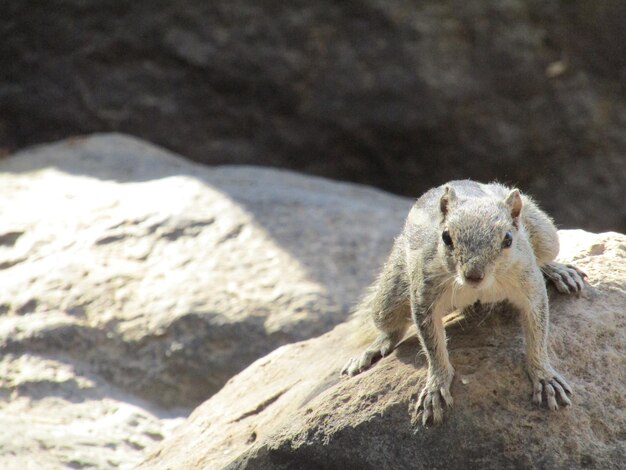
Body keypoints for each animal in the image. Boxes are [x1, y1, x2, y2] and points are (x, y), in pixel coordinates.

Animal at [338, 179, 584, 426]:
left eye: (508, 239)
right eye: (446, 237)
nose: (474, 275)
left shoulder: (530, 285)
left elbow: (538, 331)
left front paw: (544, 376)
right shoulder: (424, 294)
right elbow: (432, 344)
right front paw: (436, 386)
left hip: (545, 234)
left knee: (544, 255)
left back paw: (559, 271)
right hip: (389, 297)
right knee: (390, 325)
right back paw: (371, 351)